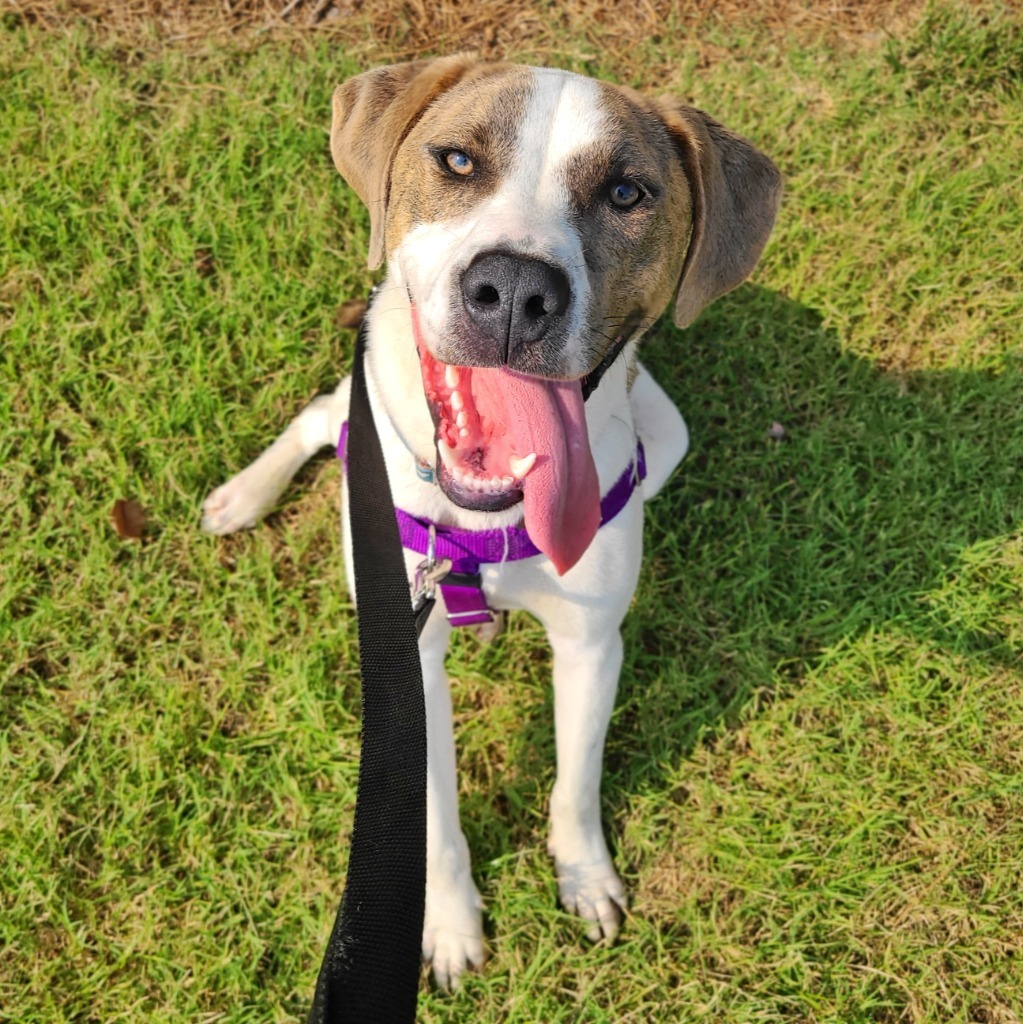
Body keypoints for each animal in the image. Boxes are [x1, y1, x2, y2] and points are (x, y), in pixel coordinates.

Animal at [201, 58, 782, 991]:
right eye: (457, 160)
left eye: (626, 191)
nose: (514, 289)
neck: (488, 522)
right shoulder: (408, 659)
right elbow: (430, 814)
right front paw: (446, 924)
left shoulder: (590, 644)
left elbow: (574, 783)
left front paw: (584, 879)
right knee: (321, 416)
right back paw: (242, 496)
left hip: (669, 432)